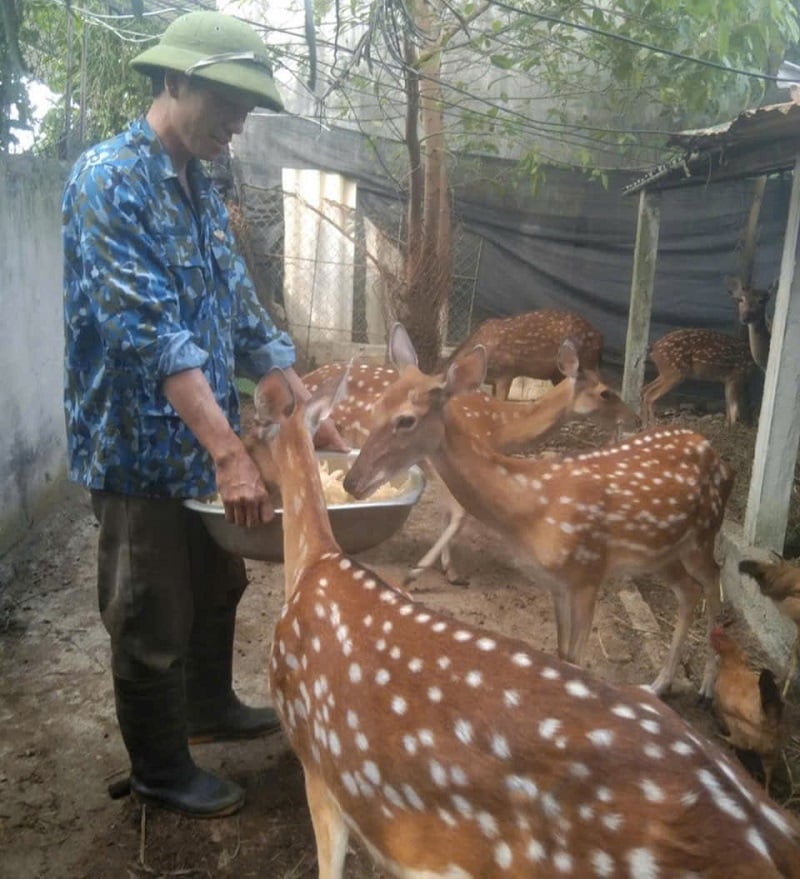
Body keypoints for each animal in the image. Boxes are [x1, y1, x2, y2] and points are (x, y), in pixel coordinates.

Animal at [302, 344, 636, 584]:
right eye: (606, 392)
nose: (634, 417)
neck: (500, 429)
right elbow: (459, 514)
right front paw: (429, 572)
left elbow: (447, 512)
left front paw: (446, 567)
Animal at [344, 324, 732, 700]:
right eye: (377, 408)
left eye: (406, 420)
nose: (351, 481)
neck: (530, 507)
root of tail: (714, 451)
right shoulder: (554, 583)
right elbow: (561, 654)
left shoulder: (588, 574)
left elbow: (576, 659)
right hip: (662, 553)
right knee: (689, 592)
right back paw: (659, 684)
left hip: (704, 533)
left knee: (713, 581)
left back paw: (706, 686)